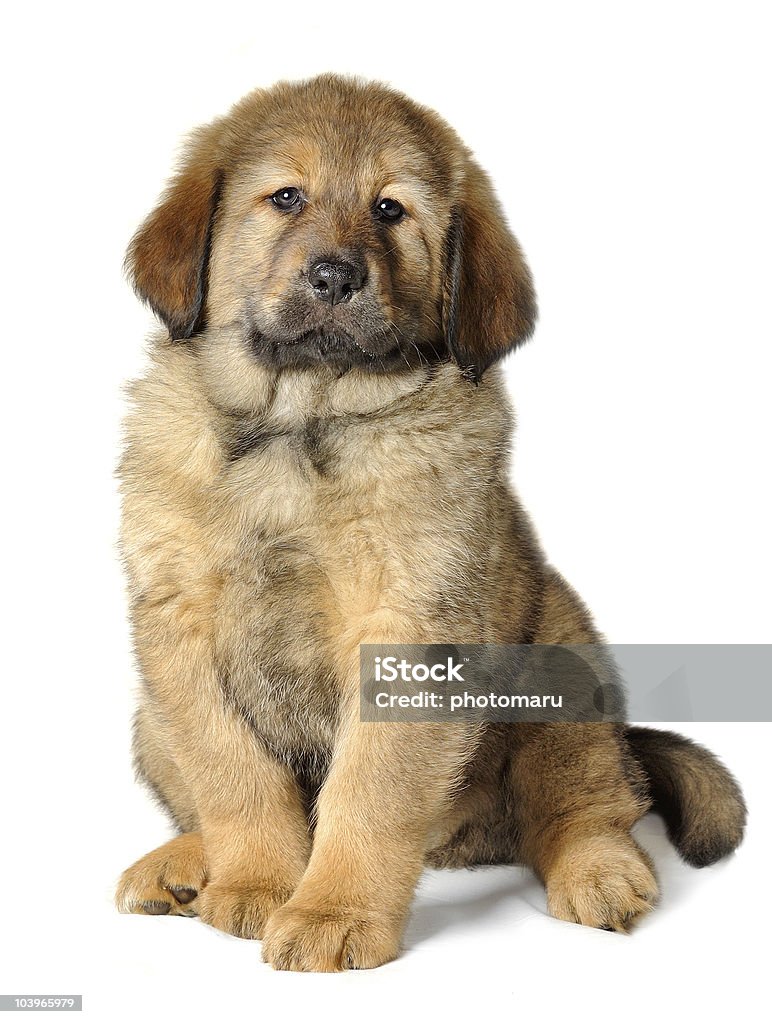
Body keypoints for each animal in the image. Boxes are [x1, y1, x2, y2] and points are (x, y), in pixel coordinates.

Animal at [115, 72, 745, 966]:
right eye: (286, 197)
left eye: (390, 210)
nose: (335, 278)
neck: (302, 425)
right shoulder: (179, 628)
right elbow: (234, 773)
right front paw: (258, 883)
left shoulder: (408, 627)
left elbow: (370, 790)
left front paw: (332, 912)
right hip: (147, 717)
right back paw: (182, 862)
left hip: (564, 676)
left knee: (588, 804)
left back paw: (600, 873)